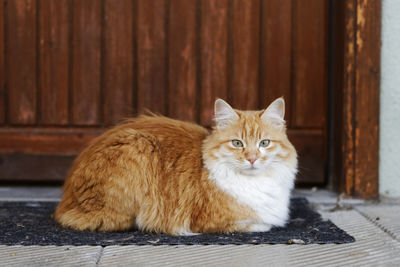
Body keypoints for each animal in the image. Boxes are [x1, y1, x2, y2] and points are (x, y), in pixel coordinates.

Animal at [54, 98, 296, 234]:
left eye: (264, 143)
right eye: (237, 143)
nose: (252, 158)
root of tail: (66, 202)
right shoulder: (211, 221)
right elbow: (258, 224)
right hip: (139, 146)